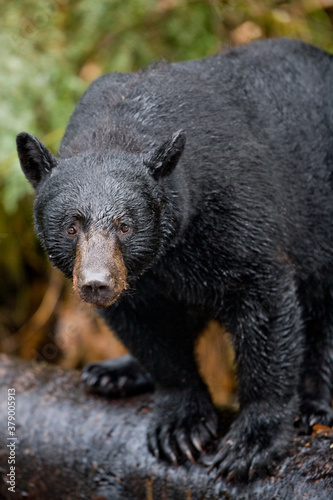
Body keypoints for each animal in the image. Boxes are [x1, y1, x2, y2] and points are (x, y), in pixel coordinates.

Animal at [16, 40, 332, 480]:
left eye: (126, 225)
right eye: (71, 227)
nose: (96, 283)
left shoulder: (239, 215)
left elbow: (265, 308)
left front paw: (253, 442)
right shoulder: (142, 281)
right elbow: (149, 334)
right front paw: (180, 425)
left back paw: (315, 405)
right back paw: (114, 372)